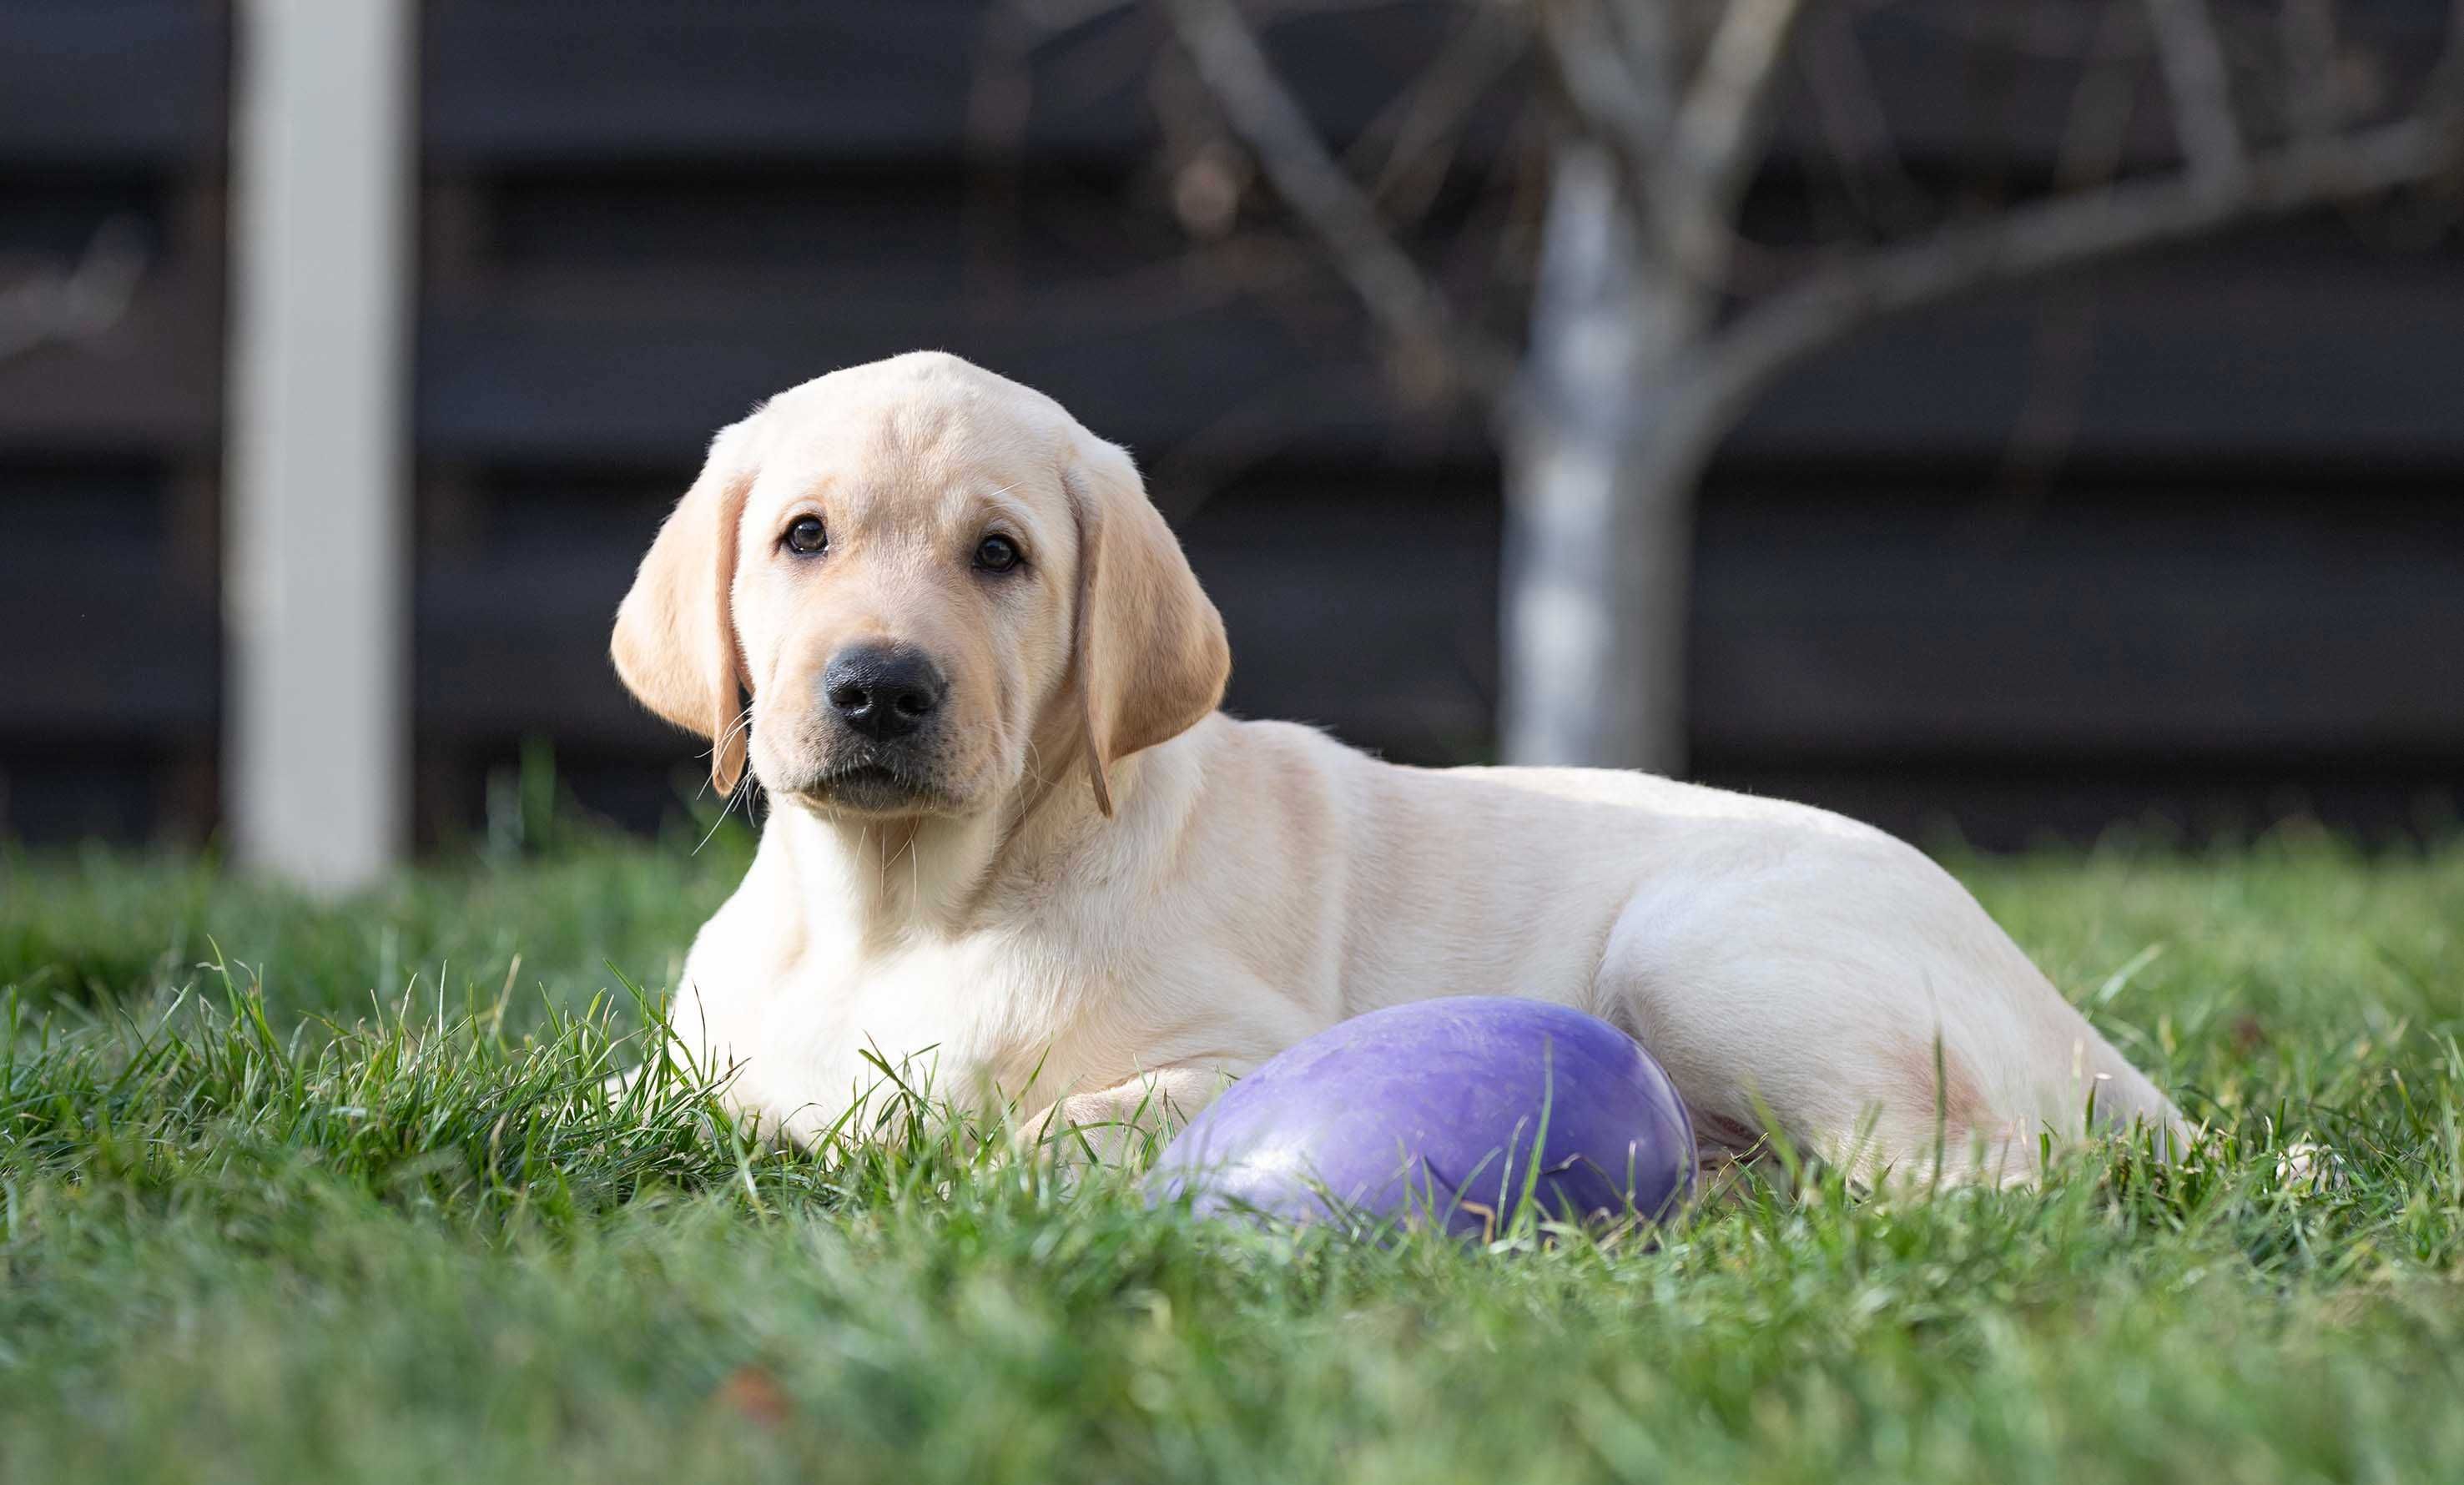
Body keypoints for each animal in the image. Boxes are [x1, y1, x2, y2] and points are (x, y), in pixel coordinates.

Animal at [611, 355, 2178, 1177]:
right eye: (802, 538)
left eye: (1000, 557)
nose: (879, 687)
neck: (899, 908)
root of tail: (2071, 1024)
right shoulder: (677, 1068)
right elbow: (651, 1093)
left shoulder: (1242, 1052)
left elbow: (1038, 1128)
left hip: (1707, 951)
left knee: (1964, 1175)